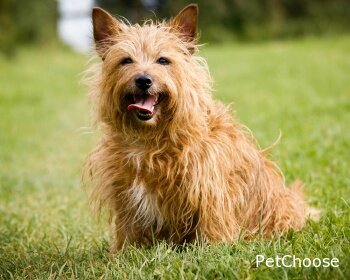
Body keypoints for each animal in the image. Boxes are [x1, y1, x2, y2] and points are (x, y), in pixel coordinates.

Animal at [83, 3, 314, 253]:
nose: (144, 80)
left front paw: (213, 250)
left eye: (163, 60)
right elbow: (128, 228)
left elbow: (212, 222)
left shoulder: (210, 187)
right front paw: (123, 253)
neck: (150, 137)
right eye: (126, 60)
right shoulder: (124, 192)